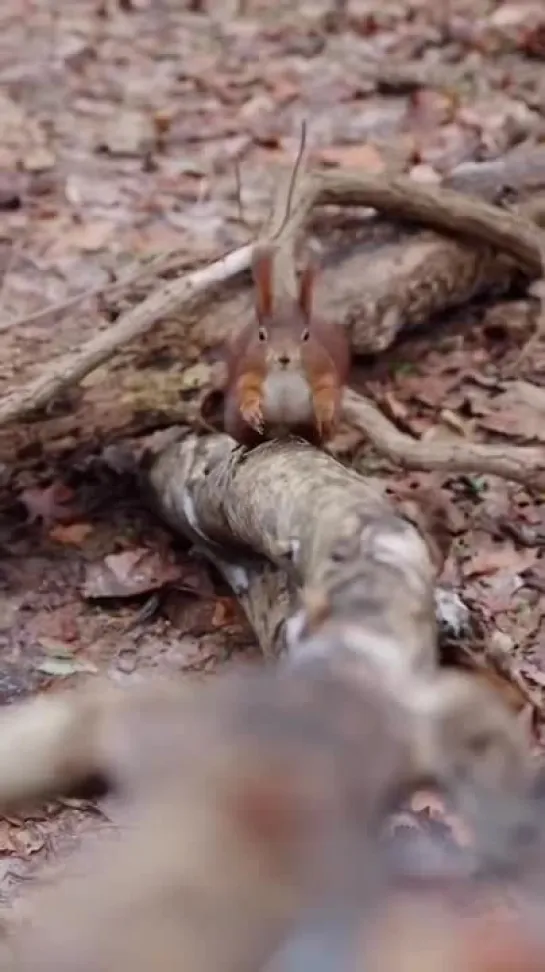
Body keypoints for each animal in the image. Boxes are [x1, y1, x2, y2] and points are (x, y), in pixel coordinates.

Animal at [223, 247, 350, 452]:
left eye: (306, 335)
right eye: (261, 335)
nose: (283, 358)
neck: (284, 374)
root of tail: (282, 432)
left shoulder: (322, 368)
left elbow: (326, 387)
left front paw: (324, 410)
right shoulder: (249, 369)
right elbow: (246, 389)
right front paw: (251, 410)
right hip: (235, 419)